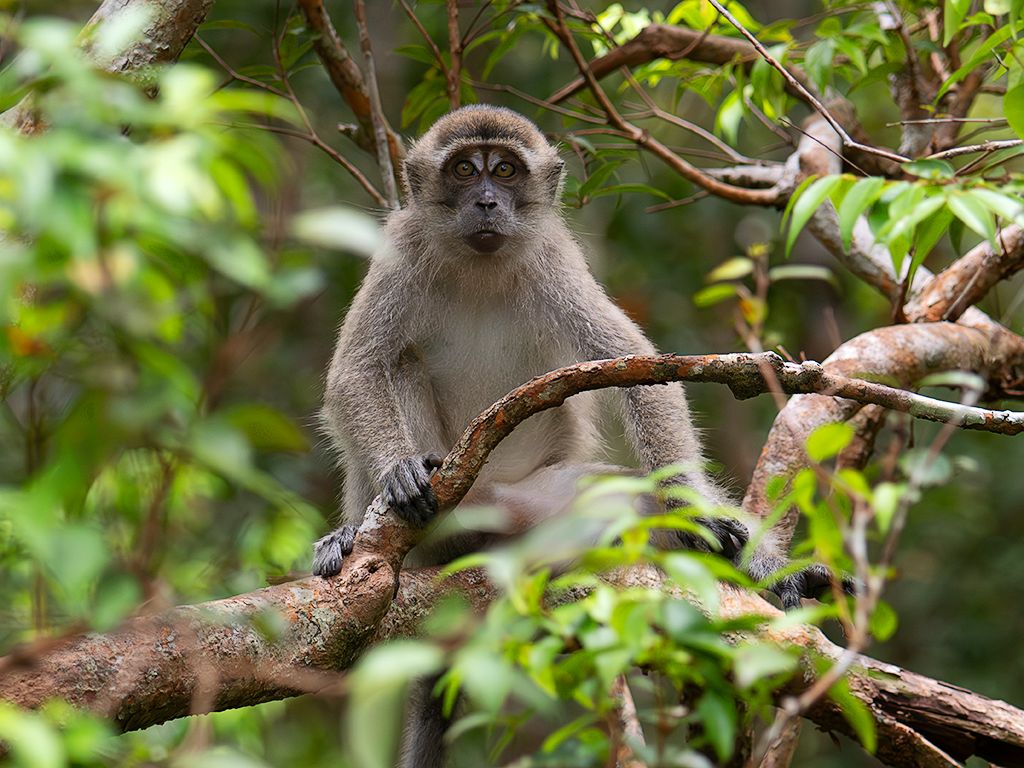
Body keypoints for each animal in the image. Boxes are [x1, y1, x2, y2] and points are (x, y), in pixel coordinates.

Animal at [312, 105, 839, 768]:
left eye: (505, 171)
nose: (487, 202)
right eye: (463, 170)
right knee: (399, 364)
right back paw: (362, 531)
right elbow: (356, 373)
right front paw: (395, 472)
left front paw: (700, 512)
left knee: (633, 507)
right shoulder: (400, 251)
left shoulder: (557, 261)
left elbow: (639, 369)